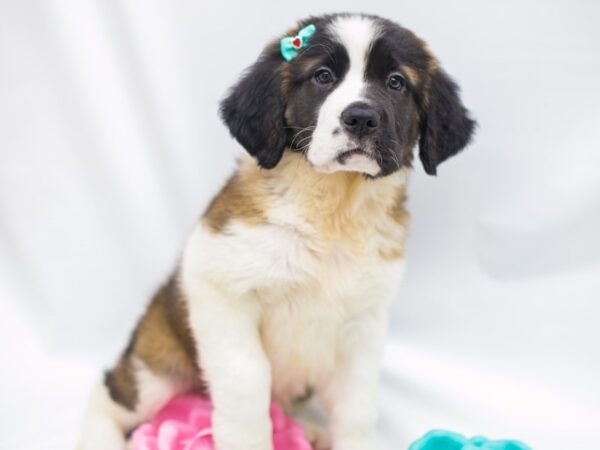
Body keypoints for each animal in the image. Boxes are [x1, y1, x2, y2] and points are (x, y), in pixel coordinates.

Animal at [77, 13, 476, 450]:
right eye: (322, 77)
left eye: (396, 82)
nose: (361, 118)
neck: (334, 209)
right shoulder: (219, 287)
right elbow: (247, 380)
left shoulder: (364, 323)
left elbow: (358, 403)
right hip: (159, 364)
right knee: (111, 395)